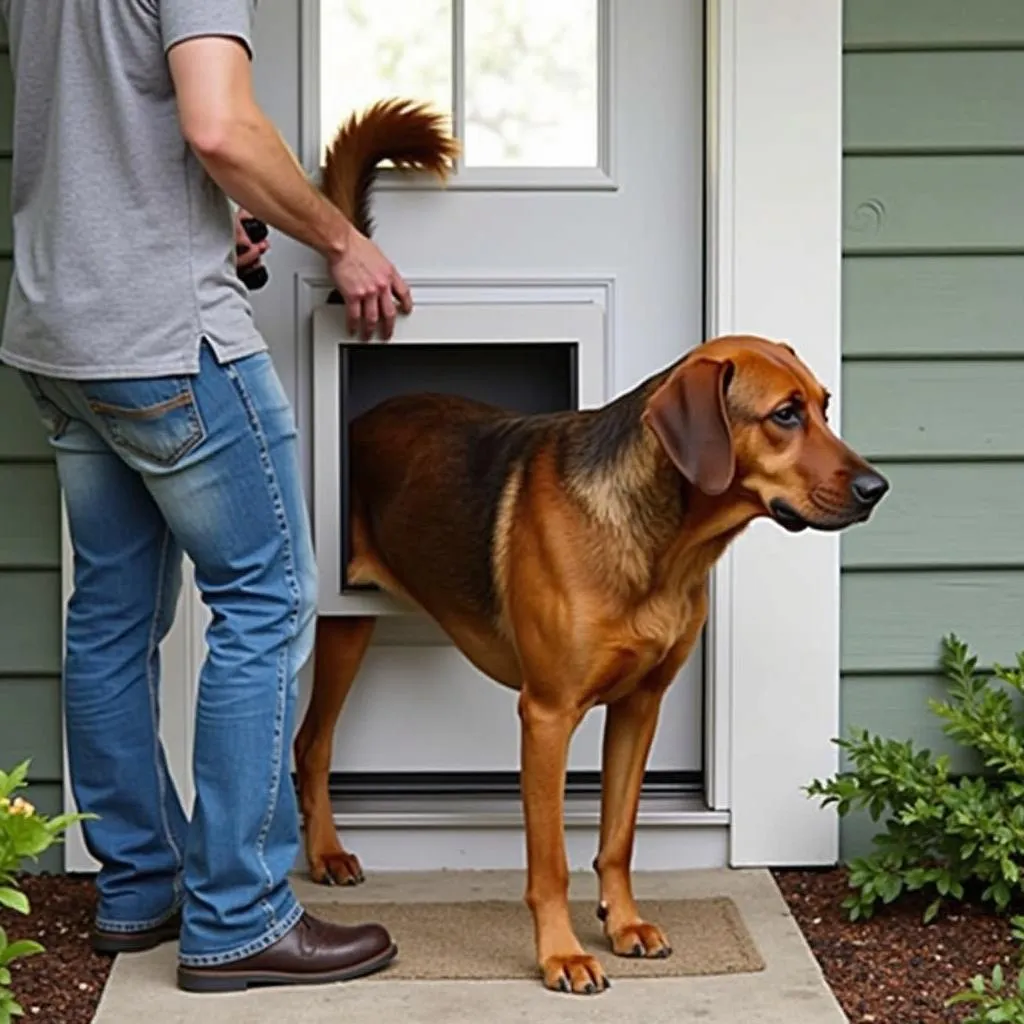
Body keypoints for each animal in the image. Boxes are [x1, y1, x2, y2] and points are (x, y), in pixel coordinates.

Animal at [292, 99, 884, 995]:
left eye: (823, 405)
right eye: (783, 415)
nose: (878, 487)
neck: (668, 550)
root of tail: (361, 416)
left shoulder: (641, 706)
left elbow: (617, 837)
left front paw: (626, 922)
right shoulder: (546, 714)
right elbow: (549, 860)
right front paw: (563, 952)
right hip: (341, 624)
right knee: (311, 746)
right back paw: (323, 852)